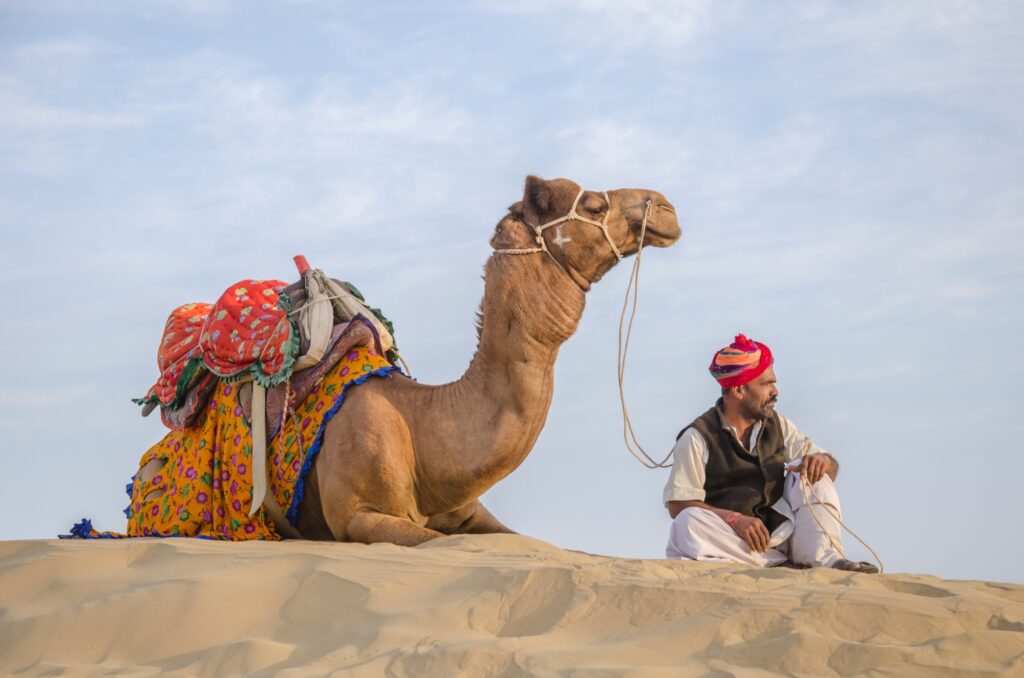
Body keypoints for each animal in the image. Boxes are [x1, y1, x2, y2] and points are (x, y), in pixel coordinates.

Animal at [296, 176, 679, 548]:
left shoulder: (469, 515)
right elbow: (433, 542)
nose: (665, 207)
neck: (420, 423)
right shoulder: (361, 516)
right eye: (595, 207)